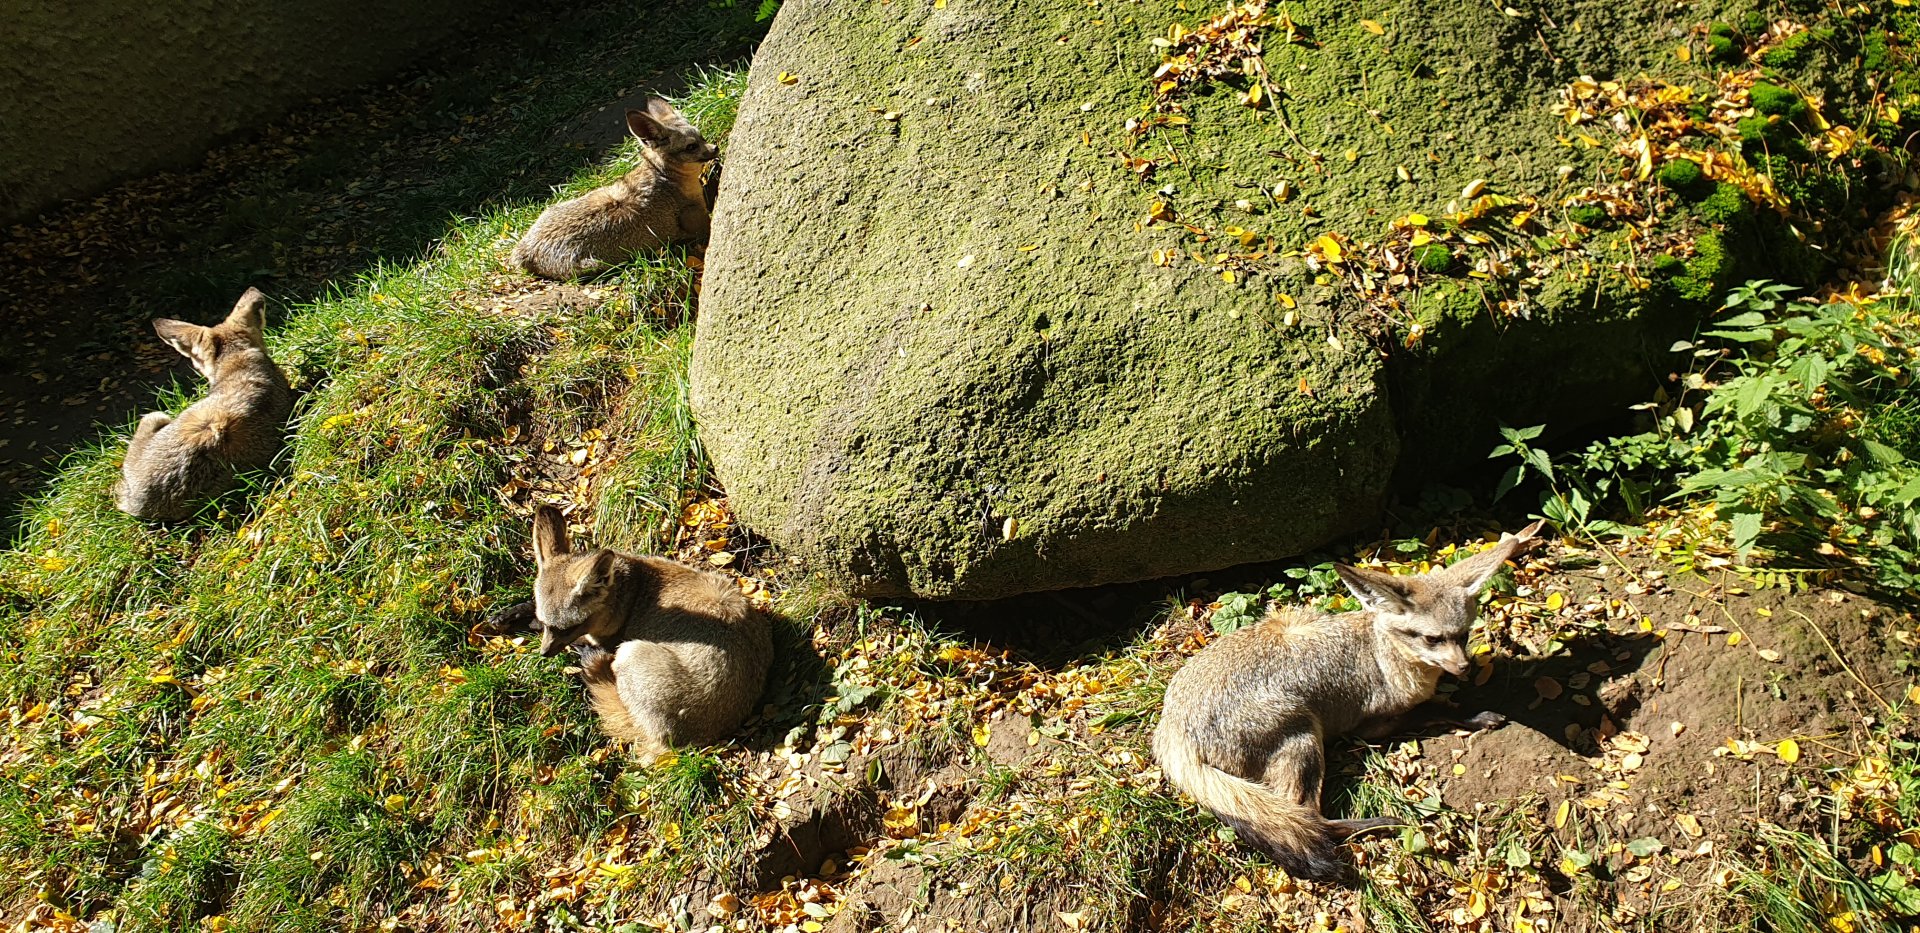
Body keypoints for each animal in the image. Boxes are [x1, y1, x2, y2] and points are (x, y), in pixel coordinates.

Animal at [510, 97, 719, 280]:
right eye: (691, 146)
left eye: (702, 137)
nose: (715, 148)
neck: (668, 178)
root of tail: (523, 251)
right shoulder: (695, 219)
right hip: (596, 265)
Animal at [1152, 520, 1546, 882]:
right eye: (1431, 639)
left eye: (1462, 635)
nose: (1463, 667)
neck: (1384, 656)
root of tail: (1172, 732)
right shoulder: (1372, 725)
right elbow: (1431, 708)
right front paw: (1474, 715)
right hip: (1304, 734)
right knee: (1309, 817)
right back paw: (1380, 824)